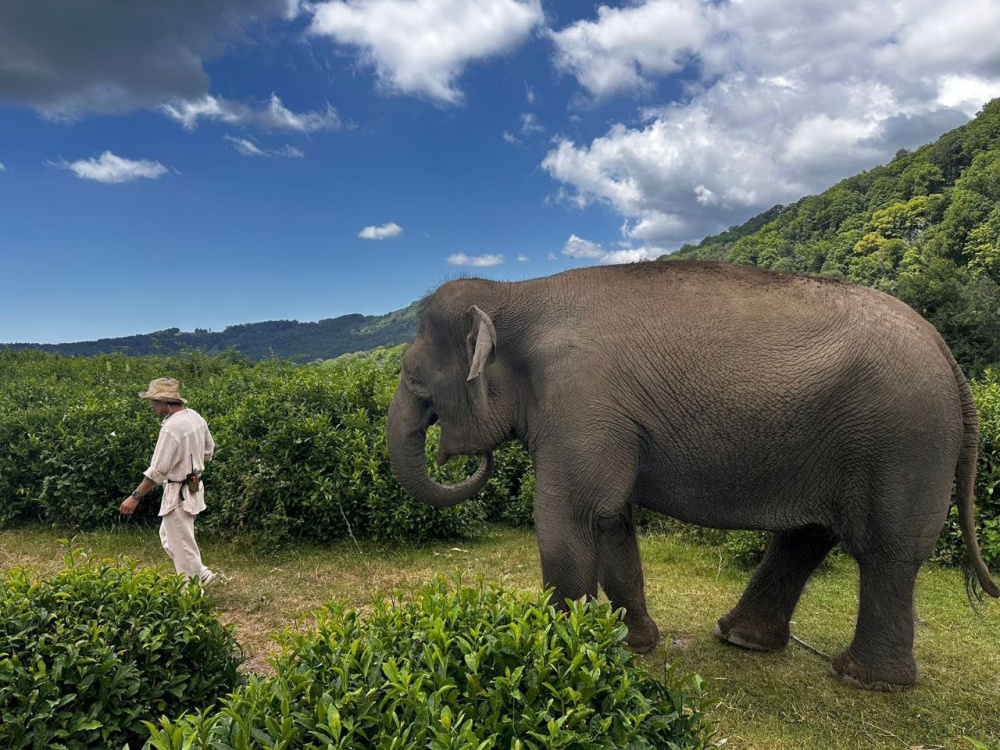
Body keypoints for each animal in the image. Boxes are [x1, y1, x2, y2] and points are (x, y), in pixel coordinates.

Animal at [384, 260, 1000, 692]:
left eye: (415, 382)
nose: (470, 459)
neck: (515, 290)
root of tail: (948, 354)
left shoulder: (581, 401)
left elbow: (570, 515)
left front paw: (553, 659)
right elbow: (611, 517)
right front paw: (632, 646)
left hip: (902, 441)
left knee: (884, 551)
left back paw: (863, 679)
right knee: (806, 537)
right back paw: (743, 640)